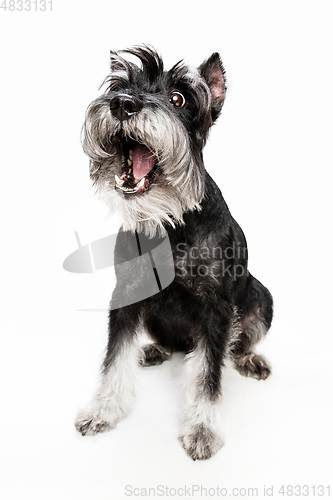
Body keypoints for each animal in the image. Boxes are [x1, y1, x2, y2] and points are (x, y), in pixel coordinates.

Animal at [74, 47, 272, 460]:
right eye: (119, 86)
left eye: (178, 98)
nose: (122, 104)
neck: (170, 221)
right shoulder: (126, 294)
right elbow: (114, 358)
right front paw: (102, 409)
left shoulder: (217, 309)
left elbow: (209, 373)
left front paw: (202, 428)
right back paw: (153, 351)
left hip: (263, 298)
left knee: (238, 342)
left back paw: (249, 358)